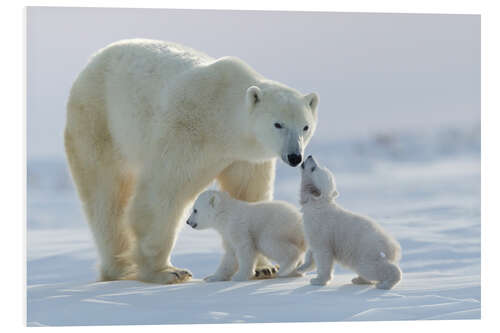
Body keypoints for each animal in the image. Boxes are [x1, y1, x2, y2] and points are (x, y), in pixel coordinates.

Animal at [64, 39, 318, 282]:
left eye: (305, 126)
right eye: (278, 124)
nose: (295, 156)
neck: (224, 119)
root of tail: (92, 62)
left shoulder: (244, 157)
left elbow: (248, 193)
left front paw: (265, 268)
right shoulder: (187, 132)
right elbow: (162, 193)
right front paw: (166, 272)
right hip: (100, 122)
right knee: (106, 196)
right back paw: (121, 269)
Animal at [296, 156, 402, 288]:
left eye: (314, 168)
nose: (310, 156)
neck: (317, 204)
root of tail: (392, 246)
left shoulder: (321, 229)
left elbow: (323, 254)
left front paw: (318, 280)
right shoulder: (312, 231)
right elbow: (311, 250)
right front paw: (301, 268)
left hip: (366, 251)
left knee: (372, 268)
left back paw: (385, 284)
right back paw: (358, 279)